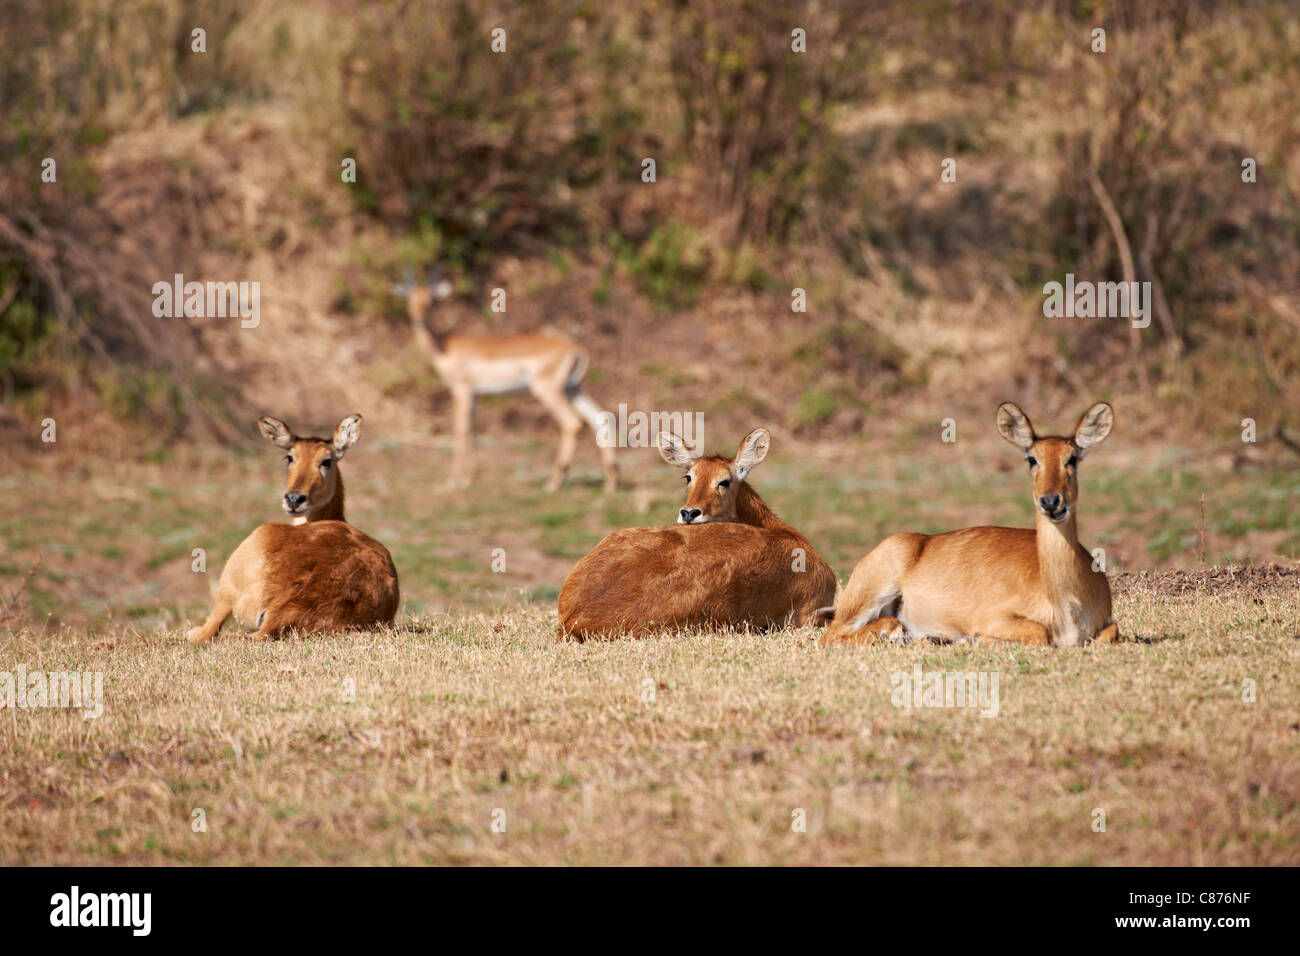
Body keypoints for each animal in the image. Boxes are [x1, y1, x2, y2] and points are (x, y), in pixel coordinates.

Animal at [183, 413, 395, 642]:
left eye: (326, 461)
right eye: (290, 457)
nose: (294, 499)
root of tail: (282, 612)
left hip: (230, 582)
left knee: (208, 629)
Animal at [392, 269, 616, 494]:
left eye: (431, 300)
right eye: (410, 298)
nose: (419, 318)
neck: (444, 347)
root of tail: (576, 347)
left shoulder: (461, 391)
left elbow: (461, 430)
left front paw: (452, 481)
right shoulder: (475, 396)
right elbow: (473, 430)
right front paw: (470, 478)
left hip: (548, 390)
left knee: (573, 423)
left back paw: (553, 483)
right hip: (573, 389)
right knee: (600, 418)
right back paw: (610, 484)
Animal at [821, 400, 1118, 647]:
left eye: (1072, 458)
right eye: (1032, 458)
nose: (1051, 501)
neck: (1067, 606)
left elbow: (1110, 633)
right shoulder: (993, 617)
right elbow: (1039, 632)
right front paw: (972, 639)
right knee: (832, 634)